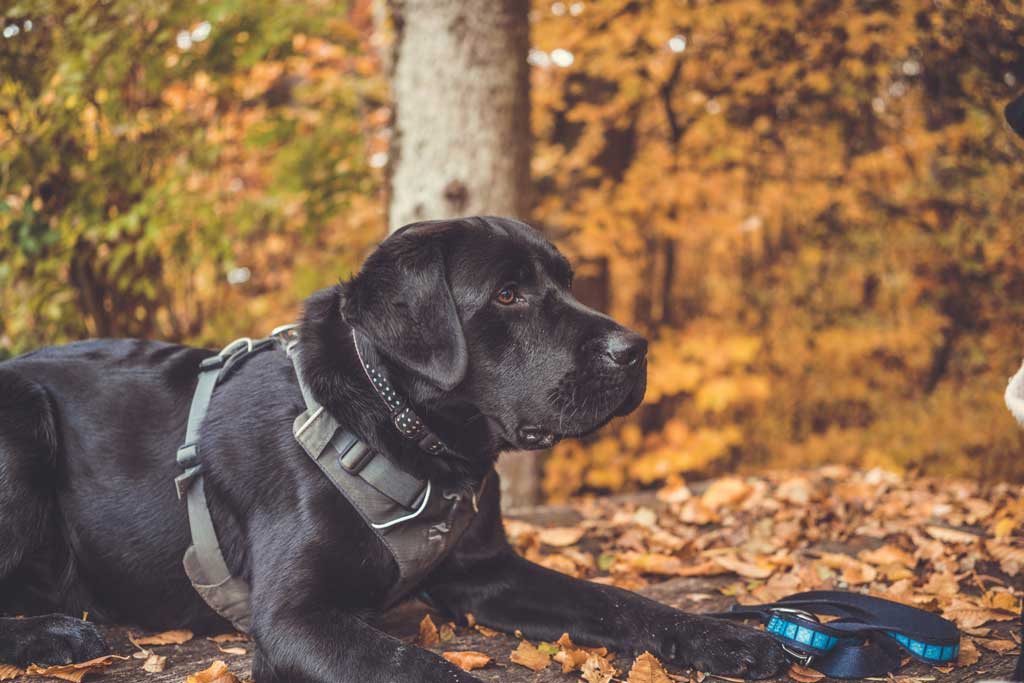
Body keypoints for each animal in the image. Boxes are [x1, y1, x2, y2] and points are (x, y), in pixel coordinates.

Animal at [0, 218, 786, 679]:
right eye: (507, 294)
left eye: (564, 280)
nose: (637, 348)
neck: (401, 427)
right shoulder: (294, 620)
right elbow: (428, 670)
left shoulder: (487, 573)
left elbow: (618, 600)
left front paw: (728, 638)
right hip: (22, 425)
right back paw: (58, 634)